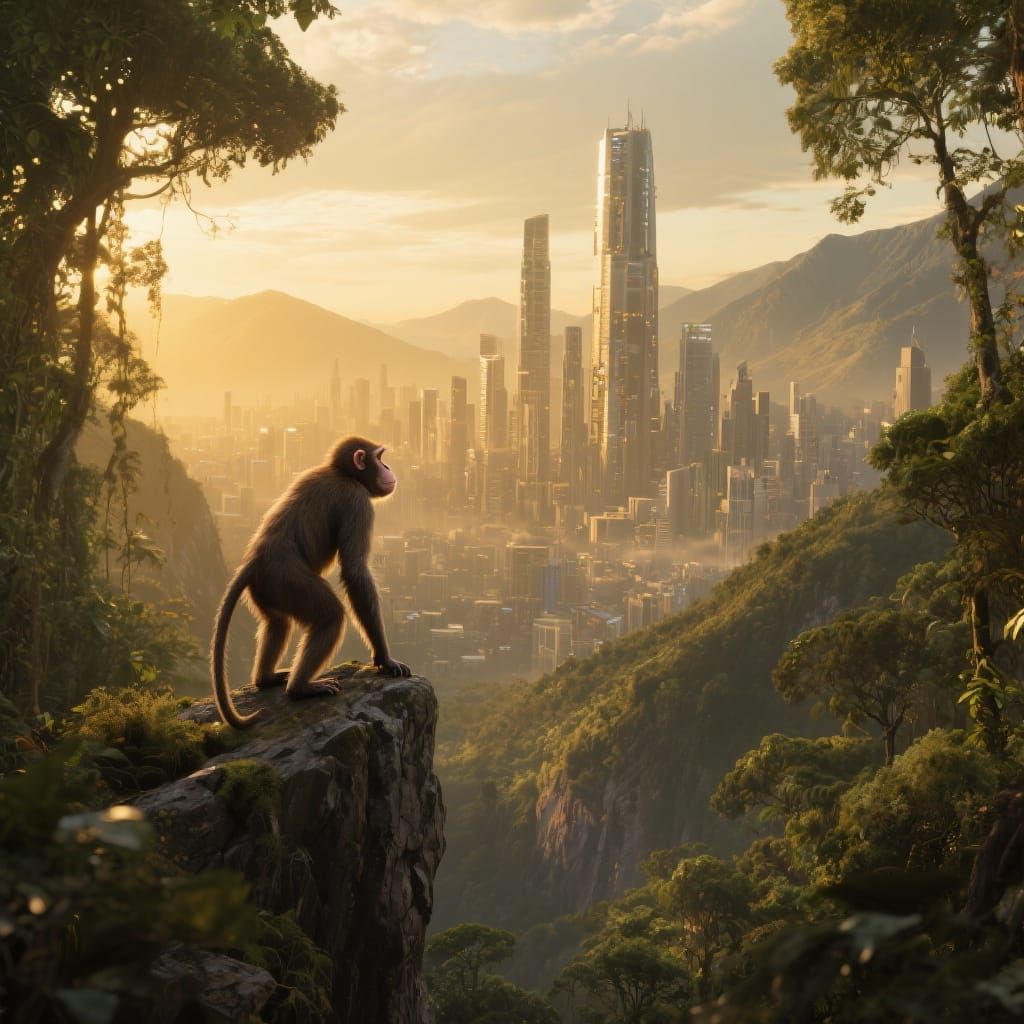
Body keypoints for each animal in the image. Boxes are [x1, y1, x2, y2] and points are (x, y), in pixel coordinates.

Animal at [211, 436, 411, 729]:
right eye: (379, 457)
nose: (387, 467)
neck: (343, 473)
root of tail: (254, 561)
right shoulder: (357, 501)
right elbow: (354, 571)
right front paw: (384, 658)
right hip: (288, 579)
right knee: (330, 617)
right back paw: (299, 688)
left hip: (268, 588)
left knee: (278, 623)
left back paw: (266, 679)